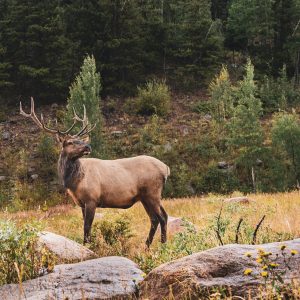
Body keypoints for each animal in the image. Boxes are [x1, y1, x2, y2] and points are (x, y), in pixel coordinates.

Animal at [19, 98, 170, 246]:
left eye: (79, 140)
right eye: (70, 142)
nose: (88, 146)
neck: (75, 182)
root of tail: (166, 168)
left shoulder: (92, 199)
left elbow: (87, 227)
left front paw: (88, 246)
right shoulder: (81, 203)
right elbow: (85, 226)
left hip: (152, 192)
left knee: (161, 218)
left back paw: (162, 245)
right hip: (145, 196)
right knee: (157, 218)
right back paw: (148, 246)